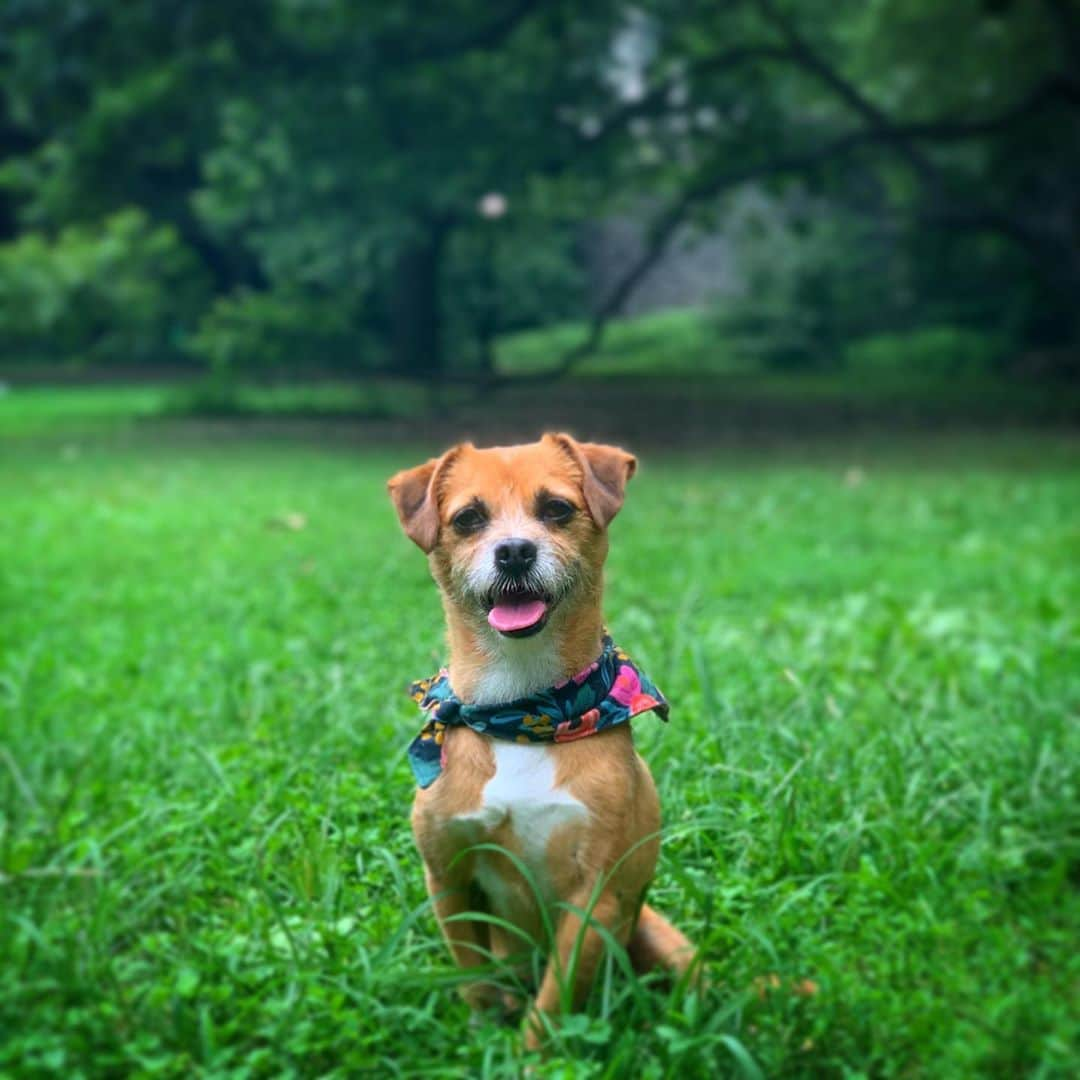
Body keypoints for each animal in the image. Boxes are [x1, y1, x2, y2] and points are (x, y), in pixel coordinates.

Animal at [386, 434, 691, 1049]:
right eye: (468, 518)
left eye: (556, 509)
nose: (514, 552)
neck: (520, 712)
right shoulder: (448, 877)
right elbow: (474, 977)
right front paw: (484, 1035)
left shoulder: (594, 898)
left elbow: (553, 1000)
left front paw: (529, 1056)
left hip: (666, 944)